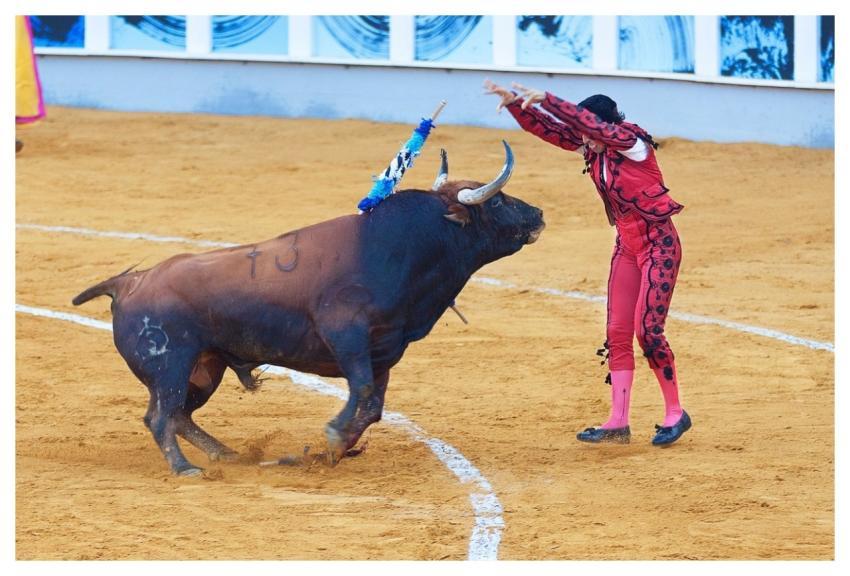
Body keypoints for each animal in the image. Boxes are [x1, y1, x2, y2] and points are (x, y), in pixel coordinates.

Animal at [72, 140, 544, 476]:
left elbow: (373, 406)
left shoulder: (384, 350)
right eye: (498, 201)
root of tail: (130, 282)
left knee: (180, 415)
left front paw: (334, 449)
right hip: (170, 366)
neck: (403, 248)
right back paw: (186, 468)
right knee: (160, 416)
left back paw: (229, 454)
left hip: (205, 368)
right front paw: (334, 438)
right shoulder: (346, 336)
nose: (539, 213)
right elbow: (362, 392)